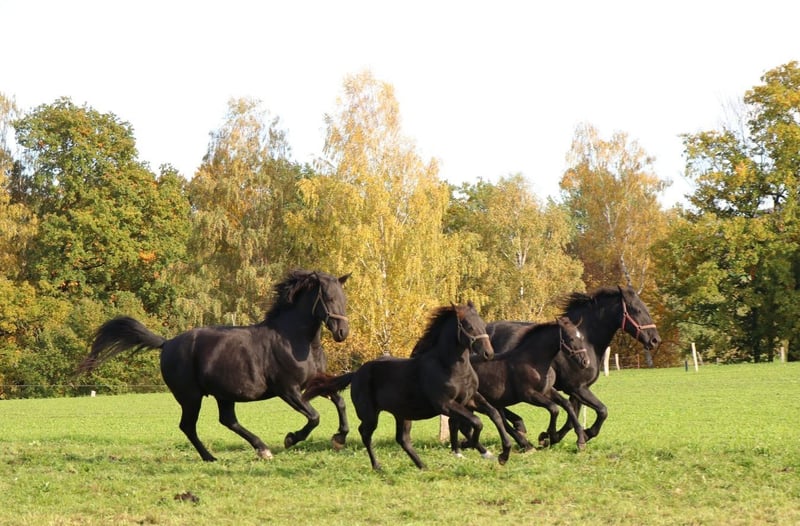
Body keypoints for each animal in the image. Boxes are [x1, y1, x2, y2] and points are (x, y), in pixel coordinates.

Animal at [77, 270, 351, 461]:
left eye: (344, 298)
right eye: (328, 298)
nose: (342, 332)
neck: (296, 340)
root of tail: (167, 343)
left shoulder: (315, 382)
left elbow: (340, 401)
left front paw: (340, 437)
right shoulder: (288, 390)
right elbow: (314, 417)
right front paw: (291, 438)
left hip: (224, 394)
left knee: (227, 420)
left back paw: (261, 449)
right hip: (191, 396)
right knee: (188, 426)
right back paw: (212, 456)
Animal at [303, 302, 513, 471]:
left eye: (482, 323)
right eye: (468, 325)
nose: (488, 353)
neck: (450, 366)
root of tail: (356, 374)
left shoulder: (470, 399)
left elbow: (494, 414)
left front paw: (502, 455)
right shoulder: (445, 404)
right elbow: (476, 422)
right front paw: (468, 445)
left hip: (403, 414)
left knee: (402, 439)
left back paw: (422, 466)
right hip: (370, 413)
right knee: (366, 433)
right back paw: (375, 464)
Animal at [453, 316, 592, 453]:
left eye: (582, 337)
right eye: (571, 338)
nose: (585, 362)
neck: (534, 362)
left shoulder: (547, 390)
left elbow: (567, 404)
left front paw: (580, 440)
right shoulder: (528, 395)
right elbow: (554, 409)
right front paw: (548, 436)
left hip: (489, 401)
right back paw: (525, 445)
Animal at [489, 285, 661, 446]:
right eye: (637, 310)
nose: (655, 340)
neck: (586, 341)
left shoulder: (577, 391)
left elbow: (572, 418)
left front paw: (553, 437)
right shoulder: (577, 387)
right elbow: (602, 411)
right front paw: (584, 434)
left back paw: (520, 429)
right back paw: (520, 432)